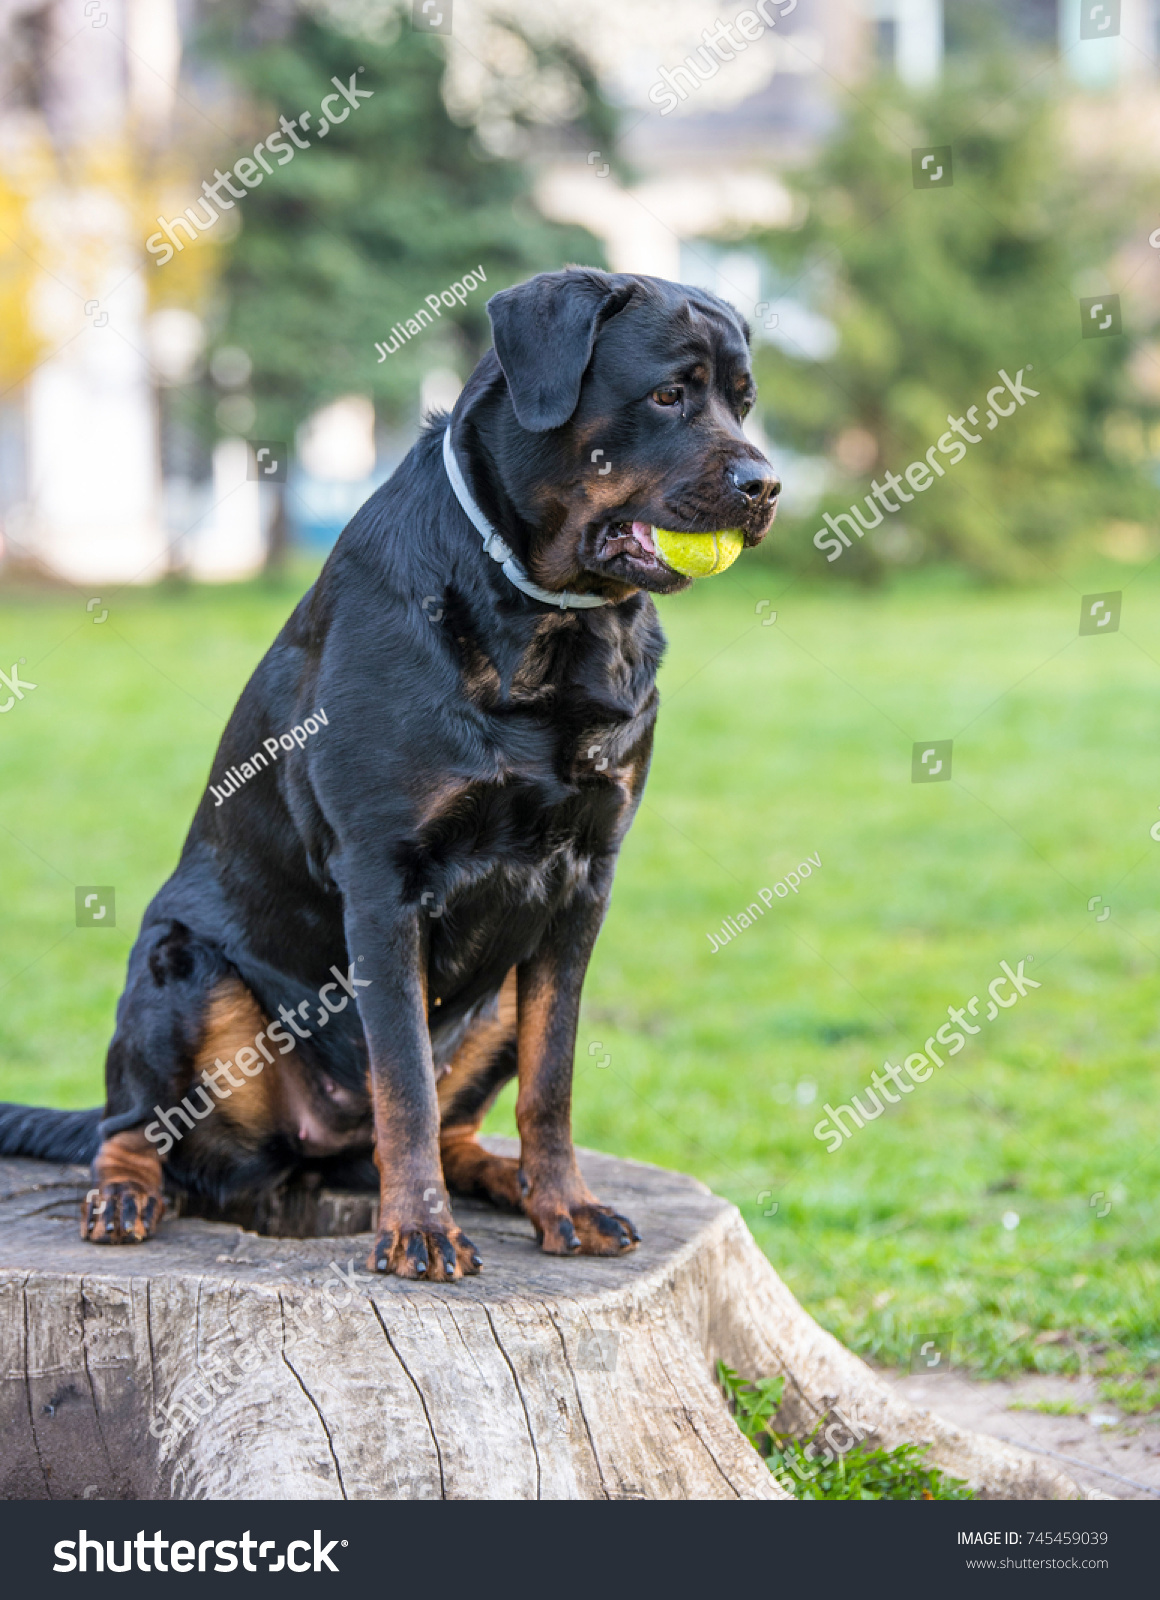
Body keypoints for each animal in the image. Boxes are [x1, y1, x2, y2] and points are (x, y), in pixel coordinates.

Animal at [2, 268, 777, 1280]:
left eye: (744, 402)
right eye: (669, 394)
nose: (766, 484)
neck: (543, 625)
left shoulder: (583, 884)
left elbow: (552, 1078)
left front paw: (563, 1203)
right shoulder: (383, 880)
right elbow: (402, 1076)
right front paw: (419, 1230)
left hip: (494, 995)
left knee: (458, 1122)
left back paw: (503, 1179)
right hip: (180, 967)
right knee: (135, 1125)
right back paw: (126, 1193)